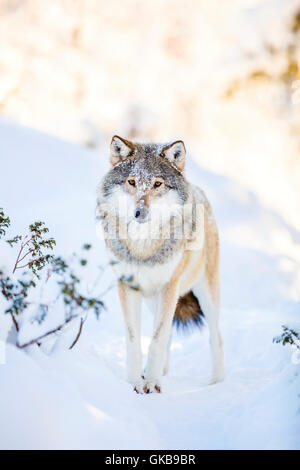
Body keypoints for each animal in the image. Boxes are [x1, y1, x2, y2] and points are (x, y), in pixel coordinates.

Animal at [96, 136, 225, 392]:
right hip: (153, 300)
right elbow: (135, 339)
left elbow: (157, 339)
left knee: (216, 338)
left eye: (157, 184)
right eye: (132, 181)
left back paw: (217, 384)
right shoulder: (128, 287)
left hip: (205, 293)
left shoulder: (169, 286)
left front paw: (152, 383)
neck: (143, 248)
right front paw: (136, 383)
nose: (140, 212)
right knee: (170, 336)